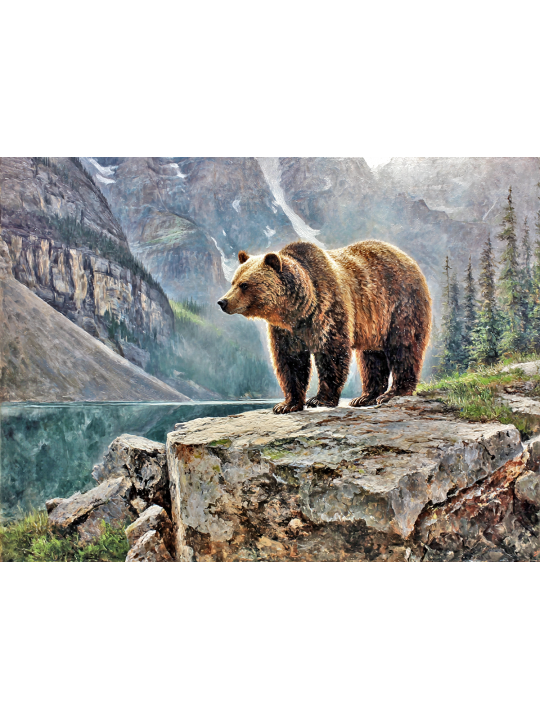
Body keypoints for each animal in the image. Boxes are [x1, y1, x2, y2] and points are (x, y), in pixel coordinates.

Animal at [217, 240, 432, 414]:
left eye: (245, 285)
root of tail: (408, 259)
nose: (222, 302)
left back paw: (393, 393)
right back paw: (365, 397)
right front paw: (286, 404)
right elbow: (290, 361)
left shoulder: (328, 306)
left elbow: (331, 353)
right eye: (233, 282)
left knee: (403, 346)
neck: (297, 310)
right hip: (373, 324)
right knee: (371, 358)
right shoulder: (286, 331)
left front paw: (318, 400)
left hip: (399, 305)